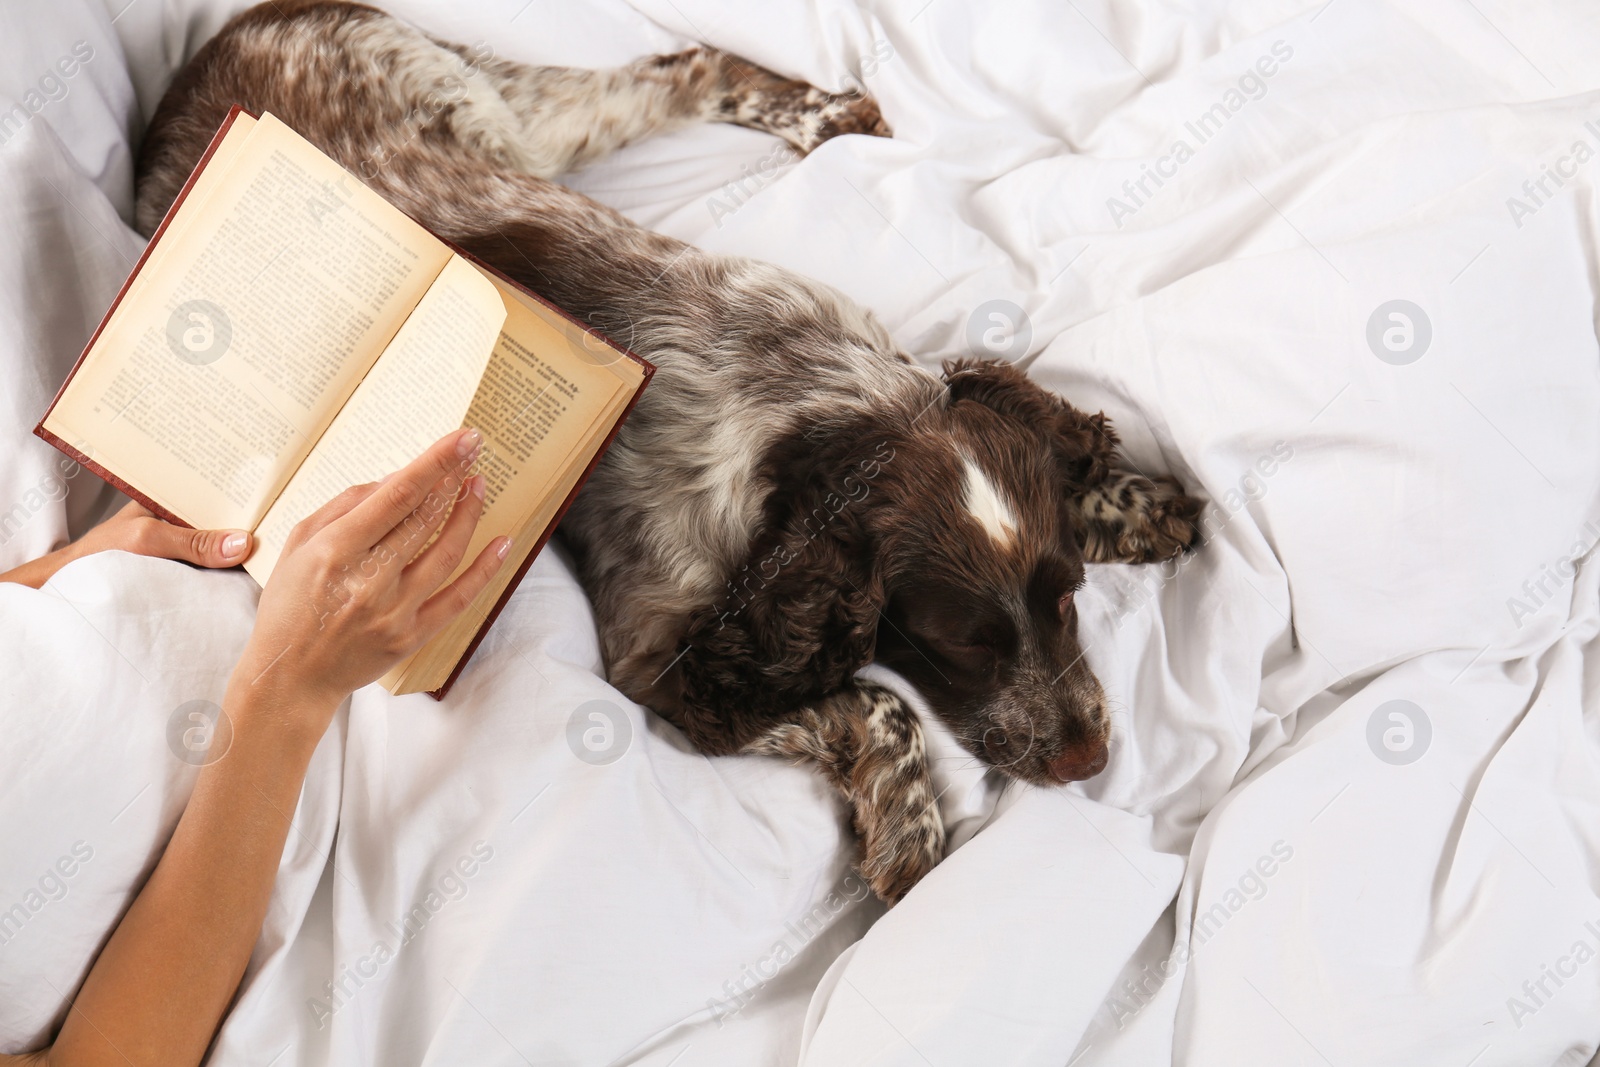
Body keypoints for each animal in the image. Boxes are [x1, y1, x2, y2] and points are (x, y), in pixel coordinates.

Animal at [137, 0, 1203, 908]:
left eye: (1066, 597)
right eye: (963, 641)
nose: (1087, 760)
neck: (810, 409)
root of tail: (231, 33)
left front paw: (1136, 504)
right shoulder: (663, 661)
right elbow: (876, 702)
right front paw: (908, 830)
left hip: (503, 111)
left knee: (684, 64)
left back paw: (822, 114)